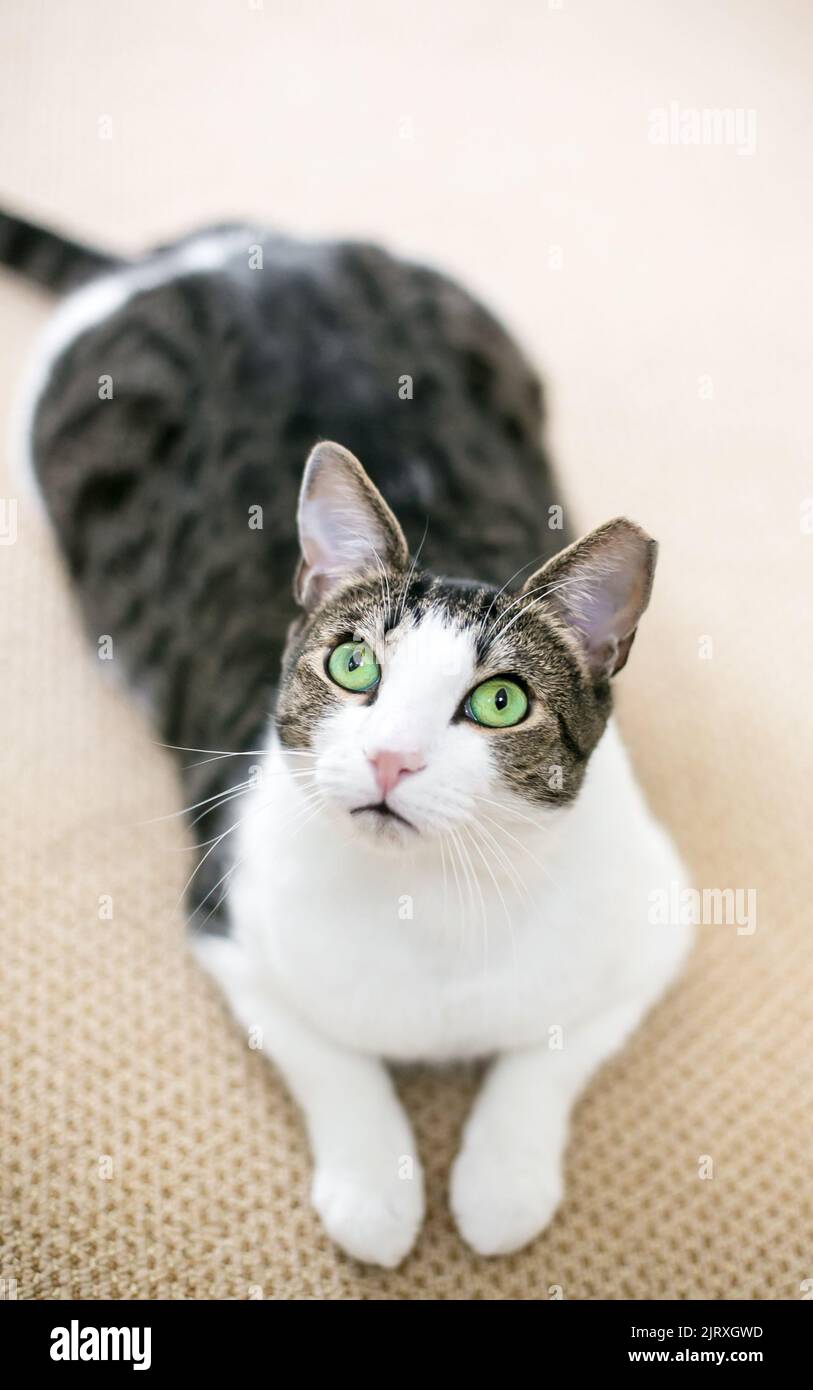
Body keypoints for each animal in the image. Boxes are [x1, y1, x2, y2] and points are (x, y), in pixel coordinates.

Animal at [3, 208, 694, 1273]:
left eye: (499, 702)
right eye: (354, 665)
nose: (389, 758)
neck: (429, 903)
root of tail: (217, 249)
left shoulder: (656, 918)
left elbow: (549, 1050)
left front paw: (500, 1183)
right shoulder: (229, 918)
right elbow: (330, 1057)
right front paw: (378, 1189)